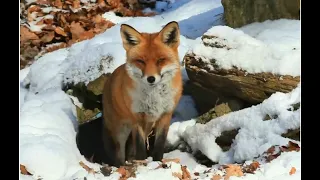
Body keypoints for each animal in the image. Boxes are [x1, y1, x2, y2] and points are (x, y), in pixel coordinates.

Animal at [102, 21, 182, 167]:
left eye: (160, 60)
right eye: (141, 61)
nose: (151, 78)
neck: (153, 97)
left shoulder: (165, 115)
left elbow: (159, 145)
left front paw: (158, 163)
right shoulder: (137, 117)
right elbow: (140, 147)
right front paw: (142, 164)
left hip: (147, 125)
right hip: (121, 130)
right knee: (119, 153)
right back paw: (121, 166)